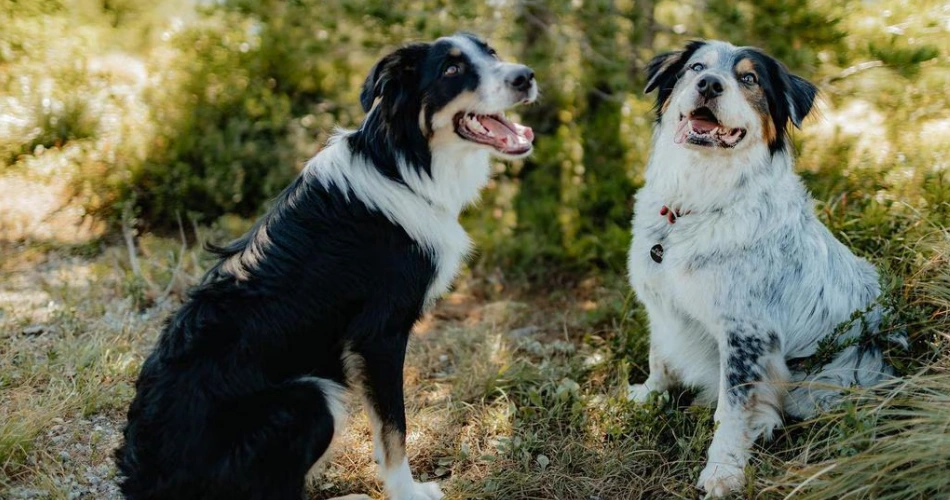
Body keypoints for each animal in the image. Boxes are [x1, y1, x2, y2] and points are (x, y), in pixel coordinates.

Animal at [113, 34, 536, 500]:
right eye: (452, 69)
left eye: (491, 52)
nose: (526, 76)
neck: (403, 167)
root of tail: (142, 479)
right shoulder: (379, 336)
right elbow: (395, 429)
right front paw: (406, 492)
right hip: (310, 397)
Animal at [628, 41, 896, 498]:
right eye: (696, 67)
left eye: (749, 79)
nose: (709, 84)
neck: (696, 205)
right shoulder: (662, 303)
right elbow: (660, 355)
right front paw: (649, 395)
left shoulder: (746, 334)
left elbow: (734, 411)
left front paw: (724, 471)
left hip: (834, 375)